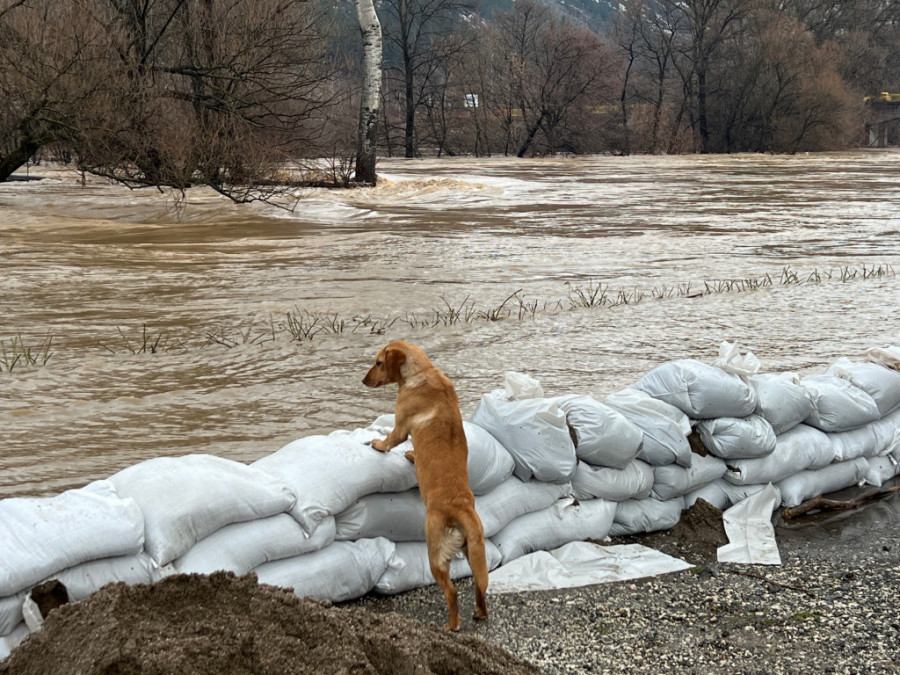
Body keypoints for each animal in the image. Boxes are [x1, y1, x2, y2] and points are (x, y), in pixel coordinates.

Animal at [362, 340, 488, 632]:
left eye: (378, 362)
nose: (363, 380)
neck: (424, 373)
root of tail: (460, 507)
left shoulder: (400, 427)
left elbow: (390, 441)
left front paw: (379, 445)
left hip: (435, 555)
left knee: (452, 592)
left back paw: (451, 626)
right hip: (475, 553)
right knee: (480, 588)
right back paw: (479, 613)